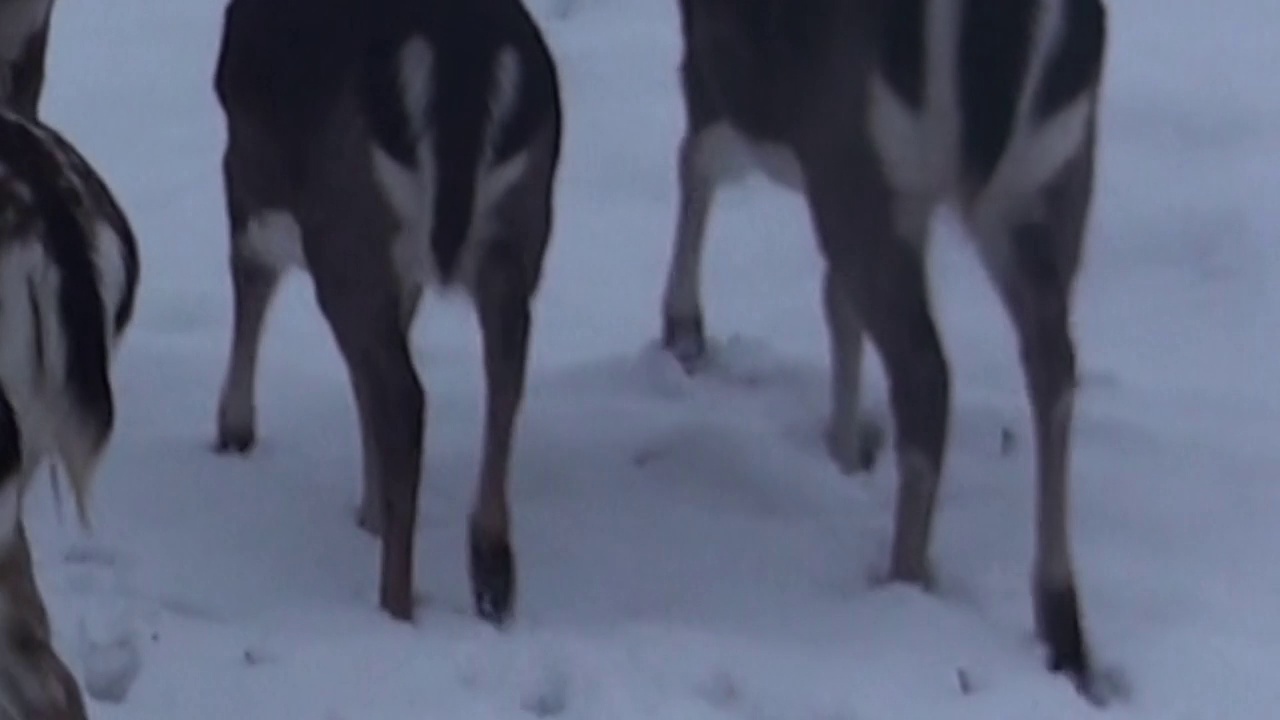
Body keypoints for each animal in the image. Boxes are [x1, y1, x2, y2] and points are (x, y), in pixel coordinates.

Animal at [212, 0, 563, 622]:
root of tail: (458, 61)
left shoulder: (252, 162)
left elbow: (252, 277)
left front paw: (234, 429)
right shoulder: (405, 270)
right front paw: (370, 509)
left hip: (346, 224)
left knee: (405, 397)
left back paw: (395, 601)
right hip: (519, 227)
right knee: (504, 377)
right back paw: (491, 575)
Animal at [660, 0, 1111, 696]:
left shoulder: (757, 96)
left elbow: (697, 154)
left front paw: (683, 329)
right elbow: (836, 301)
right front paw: (843, 448)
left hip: (869, 155)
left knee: (927, 372)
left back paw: (905, 580)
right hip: (1049, 179)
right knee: (1052, 362)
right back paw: (1061, 620)